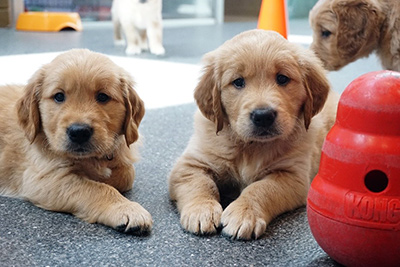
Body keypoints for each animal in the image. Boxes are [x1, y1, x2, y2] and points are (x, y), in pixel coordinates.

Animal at [0, 49, 152, 236]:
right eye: (59, 96)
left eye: (103, 97)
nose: (79, 132)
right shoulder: (43, 178)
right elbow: (96, 188)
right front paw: (126, 208)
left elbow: (126, 174)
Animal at [167, 30, 340, 242]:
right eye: (238, 82)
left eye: (282, 78)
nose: (263, 116)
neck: (251, 147)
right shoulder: (190, 164)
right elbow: (201, 183)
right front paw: (201, 210)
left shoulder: (292, 176)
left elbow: (260, 189)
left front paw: (244, 213)